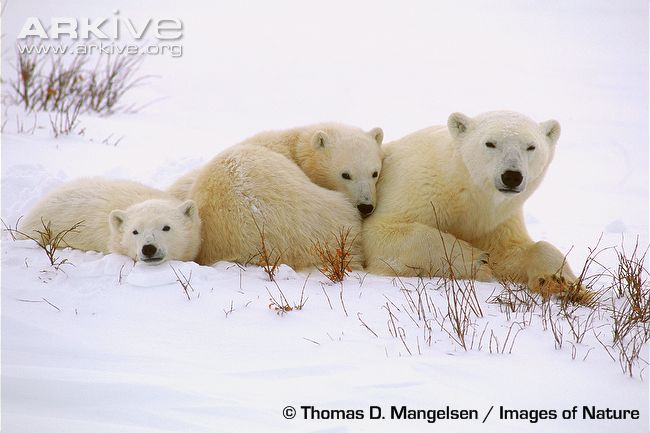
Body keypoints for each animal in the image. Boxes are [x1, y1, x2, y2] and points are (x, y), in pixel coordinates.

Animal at [362, 110, 592, 302]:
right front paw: (477, 259)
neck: (462, 186)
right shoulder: (416, 186)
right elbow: (380, 233)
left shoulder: (494, 219)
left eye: (531, 146)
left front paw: (564, 284)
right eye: (490, 143)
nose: (512, 176)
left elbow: (511, 251)